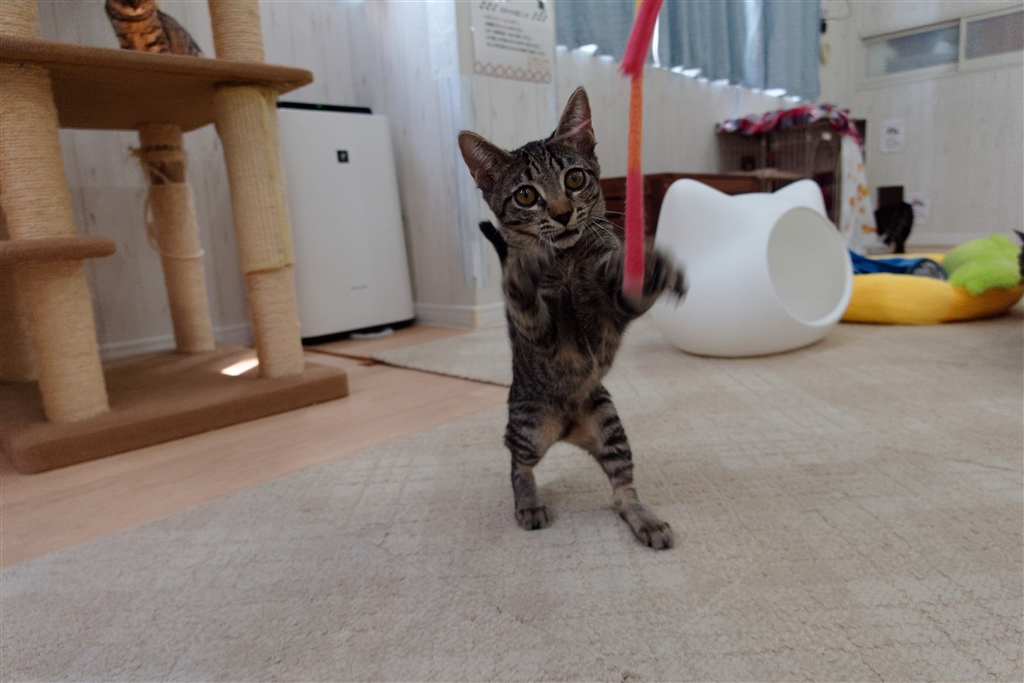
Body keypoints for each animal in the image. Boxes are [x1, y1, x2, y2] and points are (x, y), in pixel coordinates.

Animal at [458, 87, 686, 549]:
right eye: (526, 195)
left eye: (575, 180)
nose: (563, 213)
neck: (566, 263)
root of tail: (566, 430)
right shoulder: (543, 336)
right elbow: (525, 300)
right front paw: (523, 269)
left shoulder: (614, 312)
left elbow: (624, 285)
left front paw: (649, 267)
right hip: (528, 426)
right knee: (517, 462)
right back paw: (528, 503)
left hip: (607, 420)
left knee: (622, 489)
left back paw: (644, 518)